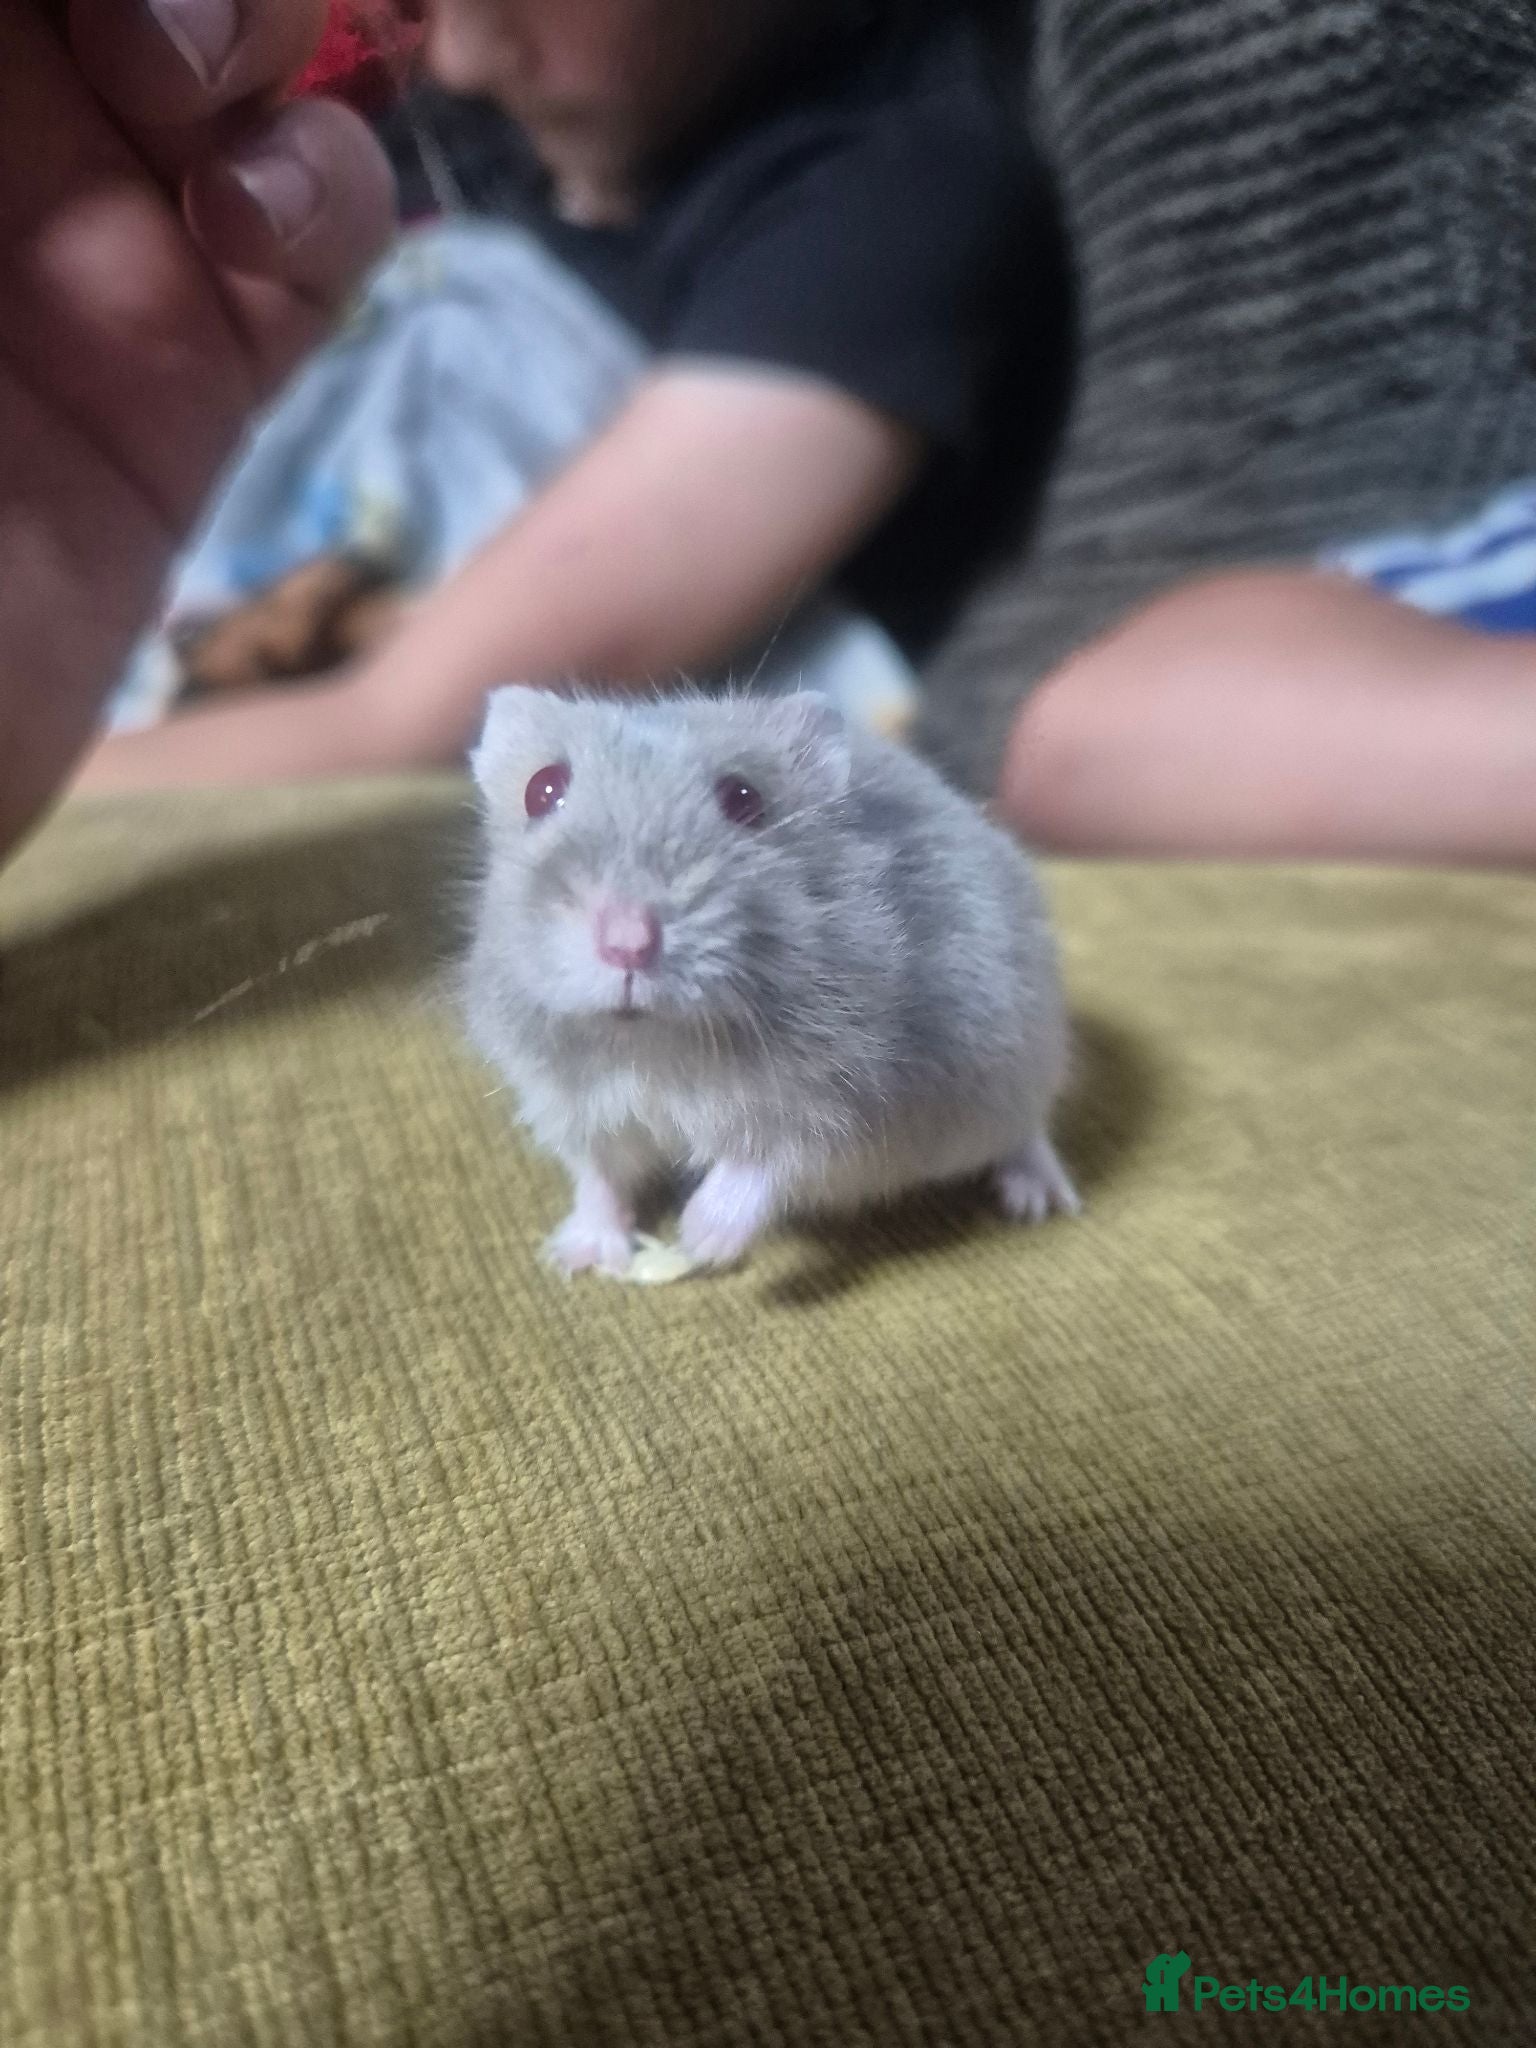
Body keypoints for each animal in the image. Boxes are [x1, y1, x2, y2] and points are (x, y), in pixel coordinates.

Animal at [462, 688, 1080, 1275]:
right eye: (542, 790)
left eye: (743, 799)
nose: (627, 943)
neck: (653, 1044)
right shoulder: (572, 1106)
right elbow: (598, 1177)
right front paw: (578, 1258)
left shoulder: (846, 1104)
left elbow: (767, 1161)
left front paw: (699, 1239)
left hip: (1015, 1067)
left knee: (1028, 1132)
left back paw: (1040, 1201)